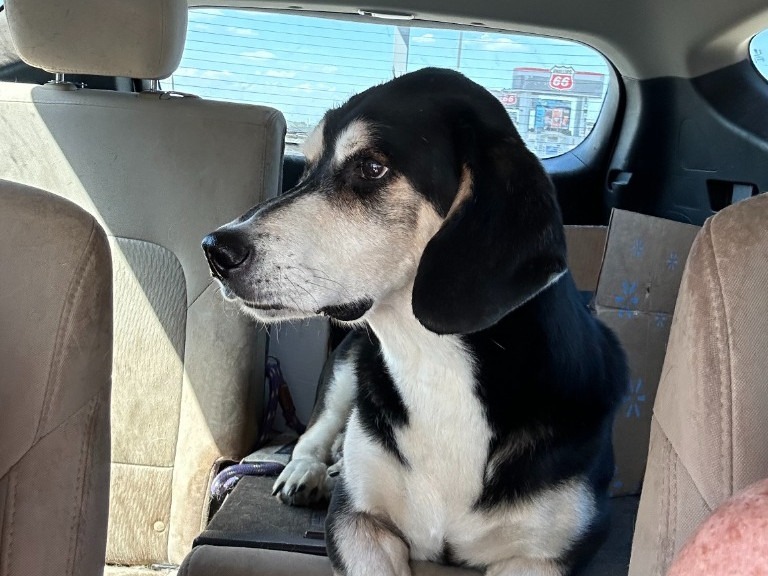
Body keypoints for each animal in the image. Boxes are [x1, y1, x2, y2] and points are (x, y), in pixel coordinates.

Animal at [201, 67, 628, 576]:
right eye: (305, 170)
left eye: (371, 168)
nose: (215, 250)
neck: (432, 362)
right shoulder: (357, 522)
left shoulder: (543, 557)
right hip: (346, 369)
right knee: (314, 433)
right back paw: (308, 471)